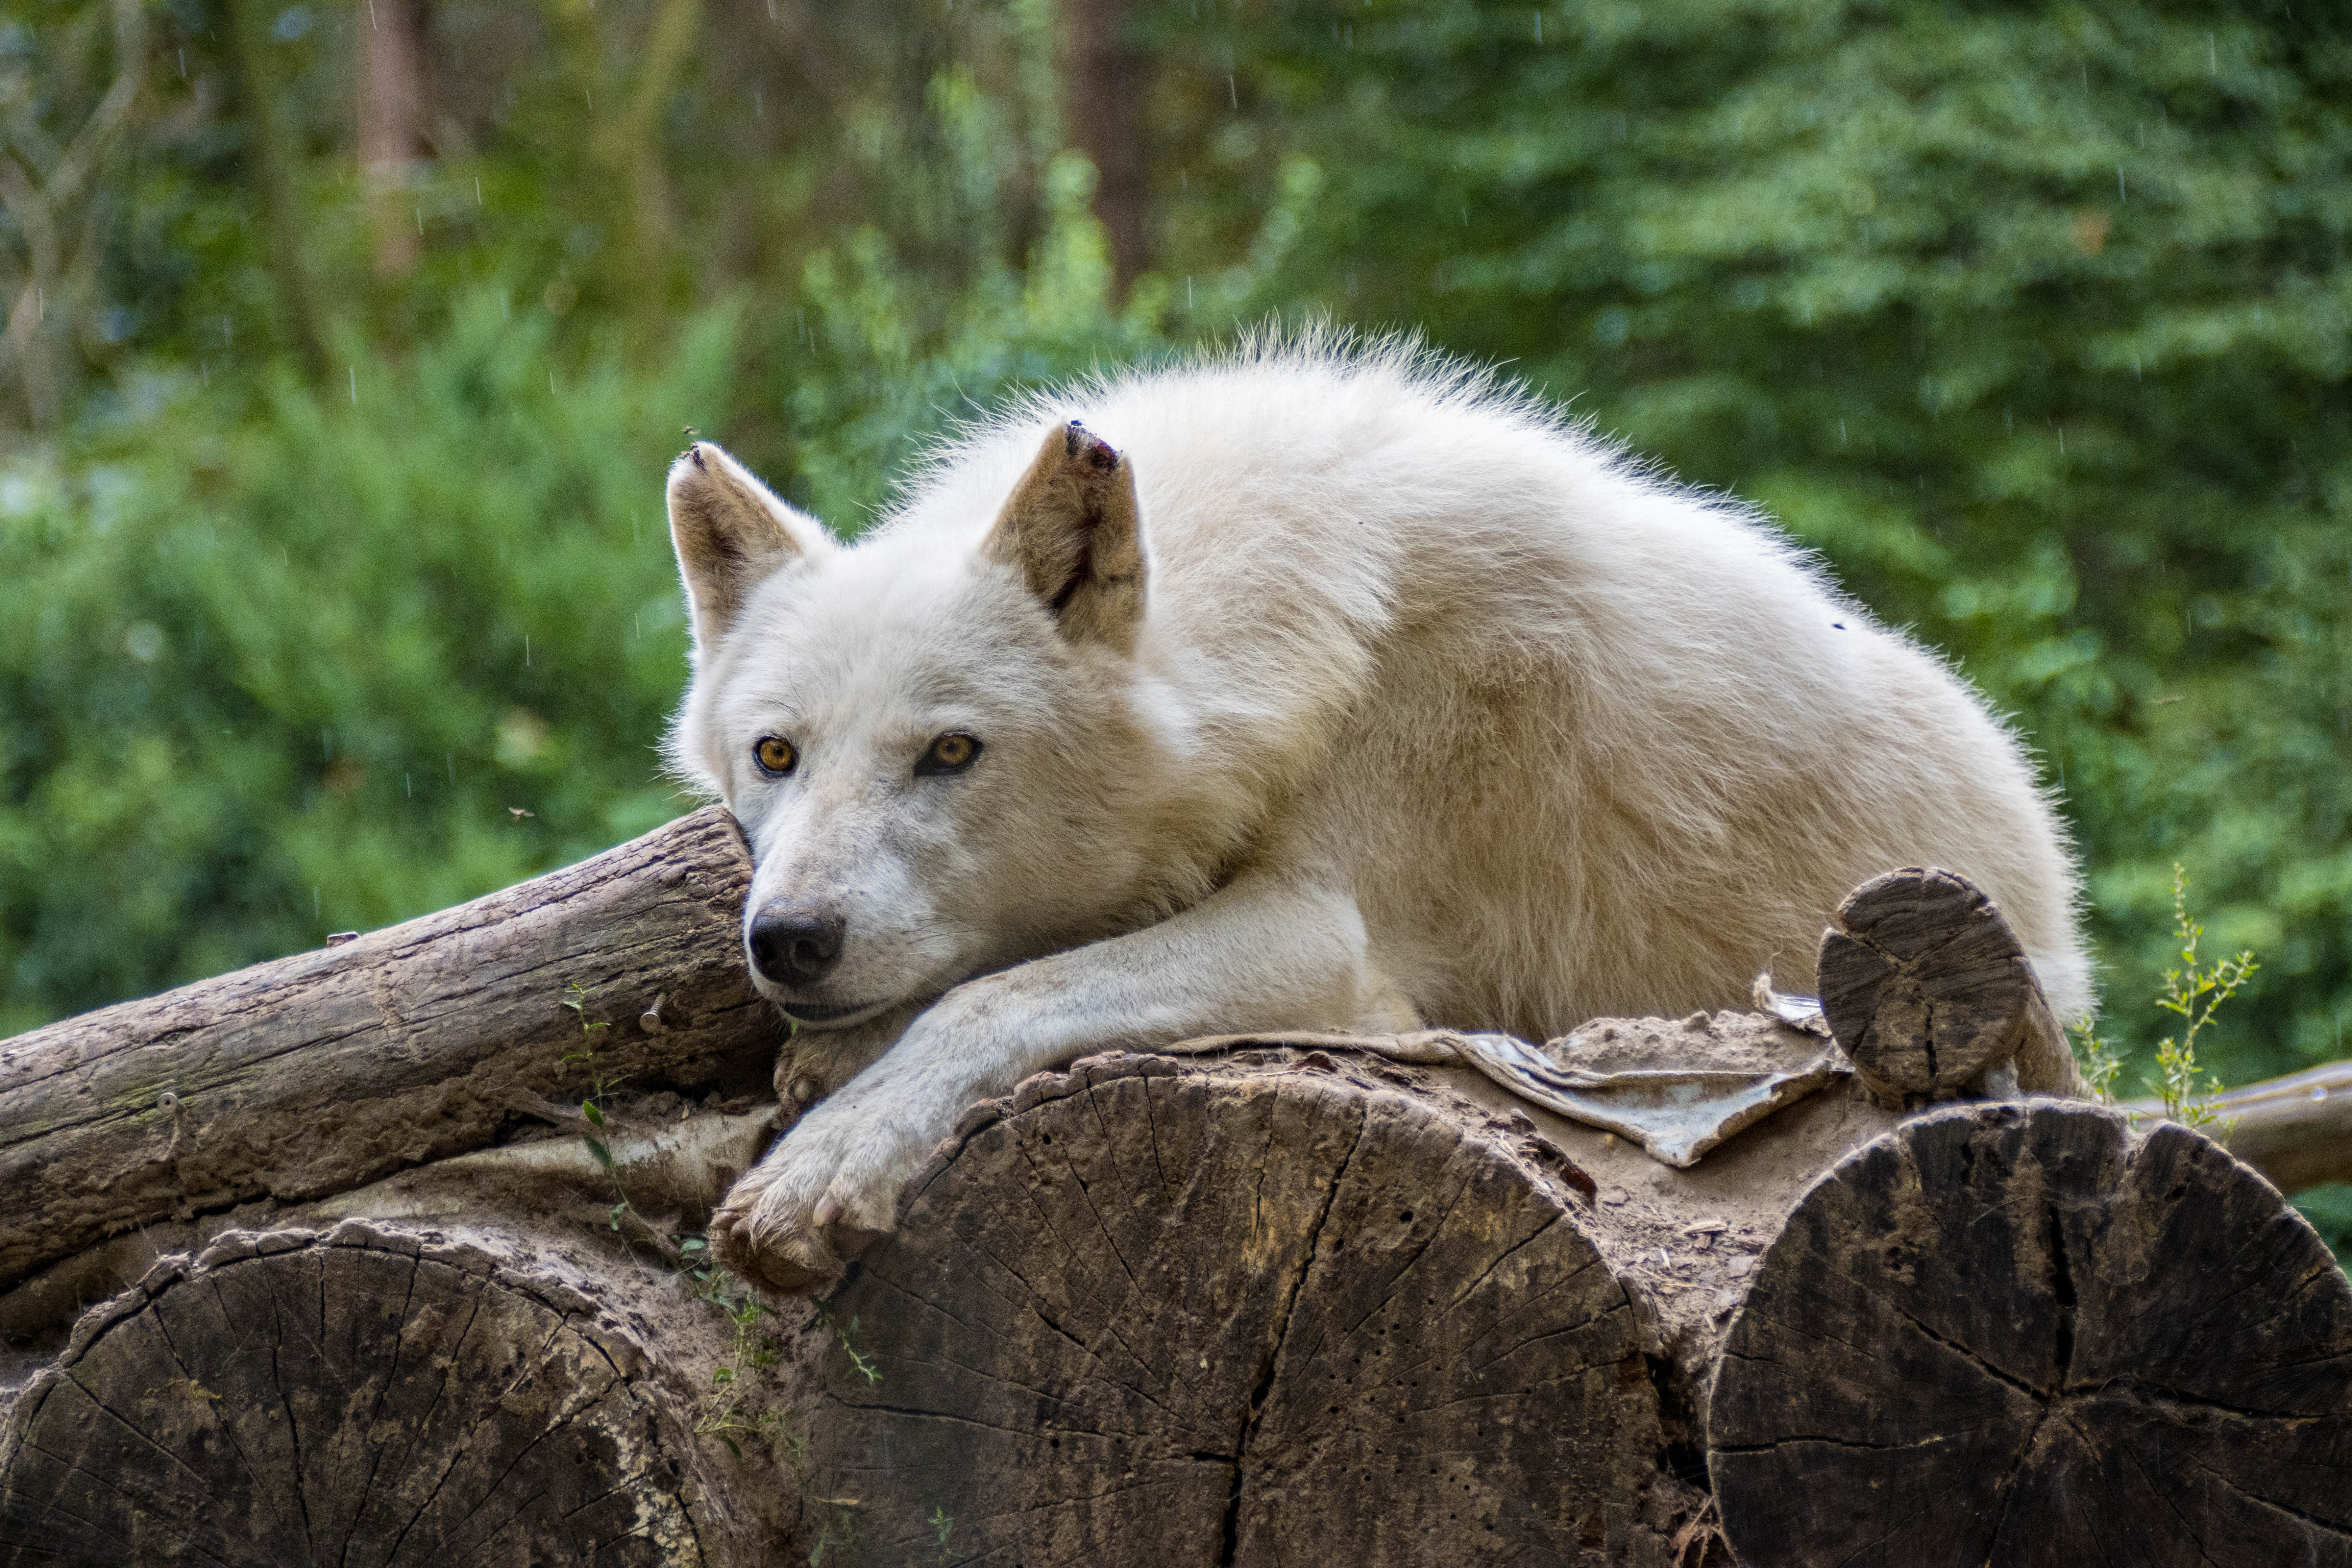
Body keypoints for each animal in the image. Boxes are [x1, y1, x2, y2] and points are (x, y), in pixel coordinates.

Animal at [672, 338, 2088, 1297]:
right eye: (777, 754)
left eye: (951, 752)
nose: (789, 939)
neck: (1306, 638)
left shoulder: (1327, 937)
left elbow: (996, 998)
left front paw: (821, 1167)